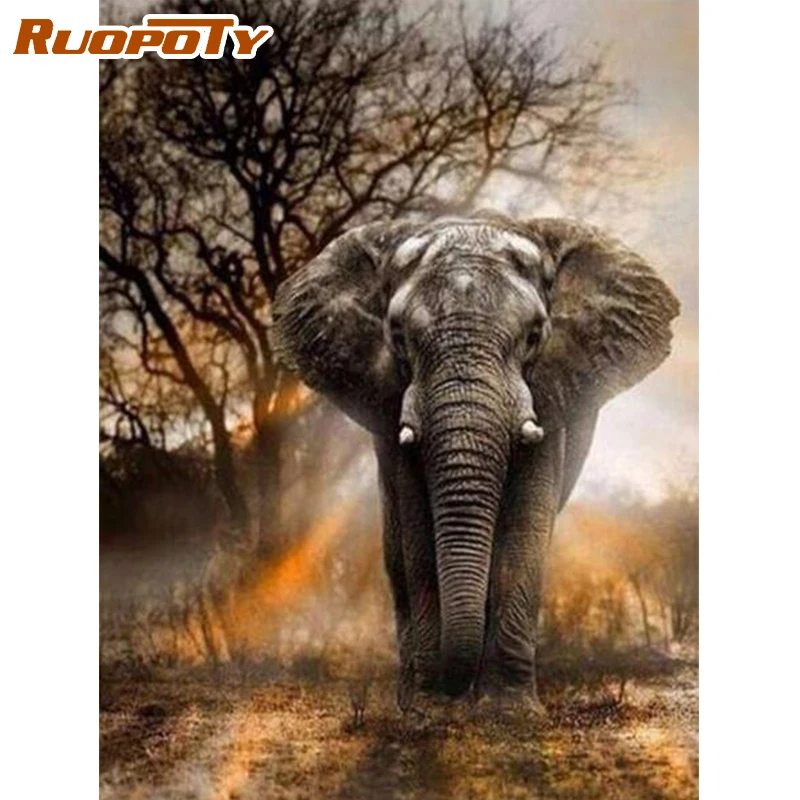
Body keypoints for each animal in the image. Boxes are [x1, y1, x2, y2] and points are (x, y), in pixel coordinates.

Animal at [270, 211, 679, 710]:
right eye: (398, 337)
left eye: (534, 336)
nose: (452, 690)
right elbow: (418, 529)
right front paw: (431, 710)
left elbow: (524, 525)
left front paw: (509, 712)